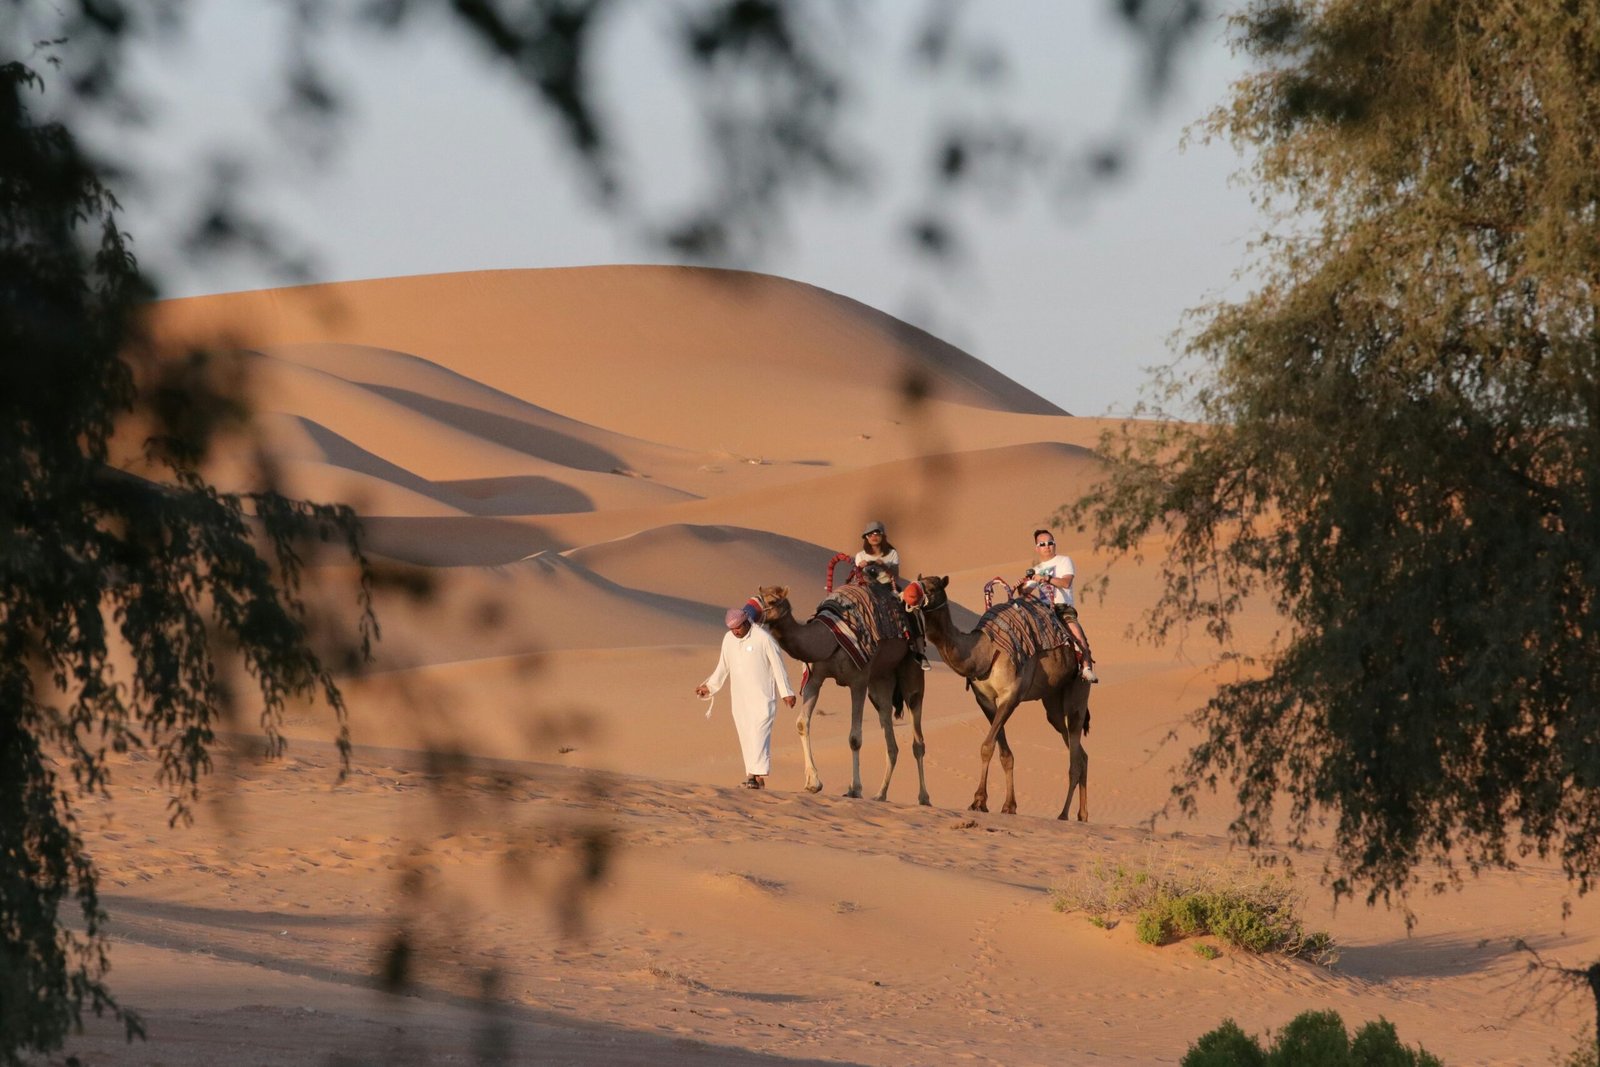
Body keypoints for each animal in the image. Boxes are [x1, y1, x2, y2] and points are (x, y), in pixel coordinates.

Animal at [755, 588, 934, 806]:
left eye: (772, 600)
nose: (749, 612)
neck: (830, 639)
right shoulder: (815, 677)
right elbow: (802, 723)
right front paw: (812, 783)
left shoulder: (858, 680)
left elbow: (855, 738)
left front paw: (854, 789)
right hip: (881, 679)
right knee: (890, 738)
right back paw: (880, 795)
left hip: (910, 670)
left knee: (918, 736)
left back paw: (924, 798)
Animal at [902, 575, 1088, 819]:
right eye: (918, 581)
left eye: (932, 588)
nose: (907, 594)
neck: (985, 652)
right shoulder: (986, 701)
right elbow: (1004, 753)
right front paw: (1008, 805)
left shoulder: (1011, 696)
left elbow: (987, 746)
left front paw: (978, 800)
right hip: (1052, 701)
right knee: (1079, 751)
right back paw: (1082, 815)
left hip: (1079, 689)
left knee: (1075, 751)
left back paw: (1064, 815)